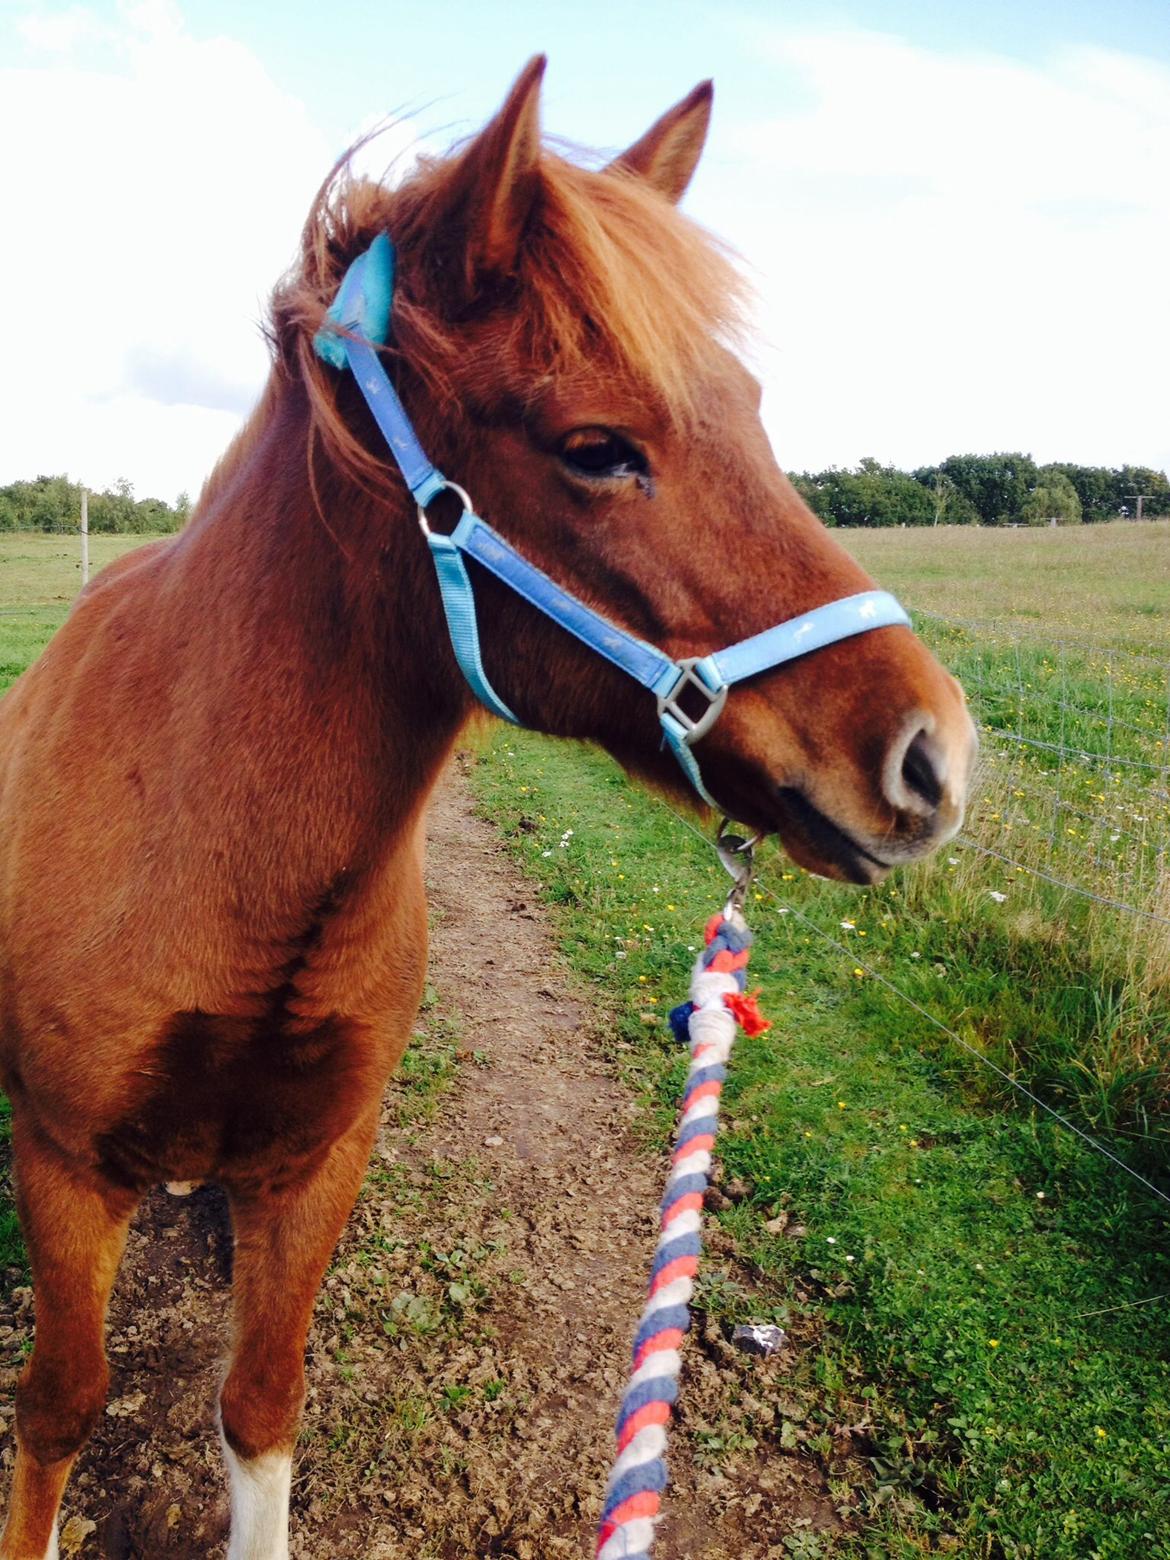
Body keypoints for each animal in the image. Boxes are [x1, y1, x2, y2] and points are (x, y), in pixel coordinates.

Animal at [0, 57, 979, 1560]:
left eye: (752, 410)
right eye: (597, 447)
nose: (935, 760)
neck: (207, 852)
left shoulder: (318, 1162)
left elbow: (260, 1402)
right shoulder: (60, 1165)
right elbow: (57, 1409)